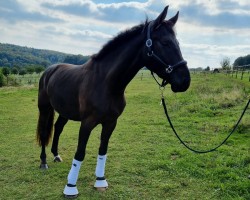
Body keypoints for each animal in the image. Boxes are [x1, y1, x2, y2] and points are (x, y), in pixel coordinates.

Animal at [36, 5, 190, 197]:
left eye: (178, 43)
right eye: (165, 42)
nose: (185, 81)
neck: (105, 82)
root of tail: (50, 70)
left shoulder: (110, 122)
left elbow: (103, 150)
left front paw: (100, 181)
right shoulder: (87, 123)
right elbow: (80, 152)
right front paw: (70, 187)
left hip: (65, 111)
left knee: (57, 128)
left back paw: (56, 155)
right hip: (44, 108)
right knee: (44, 132)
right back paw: (43, 162)